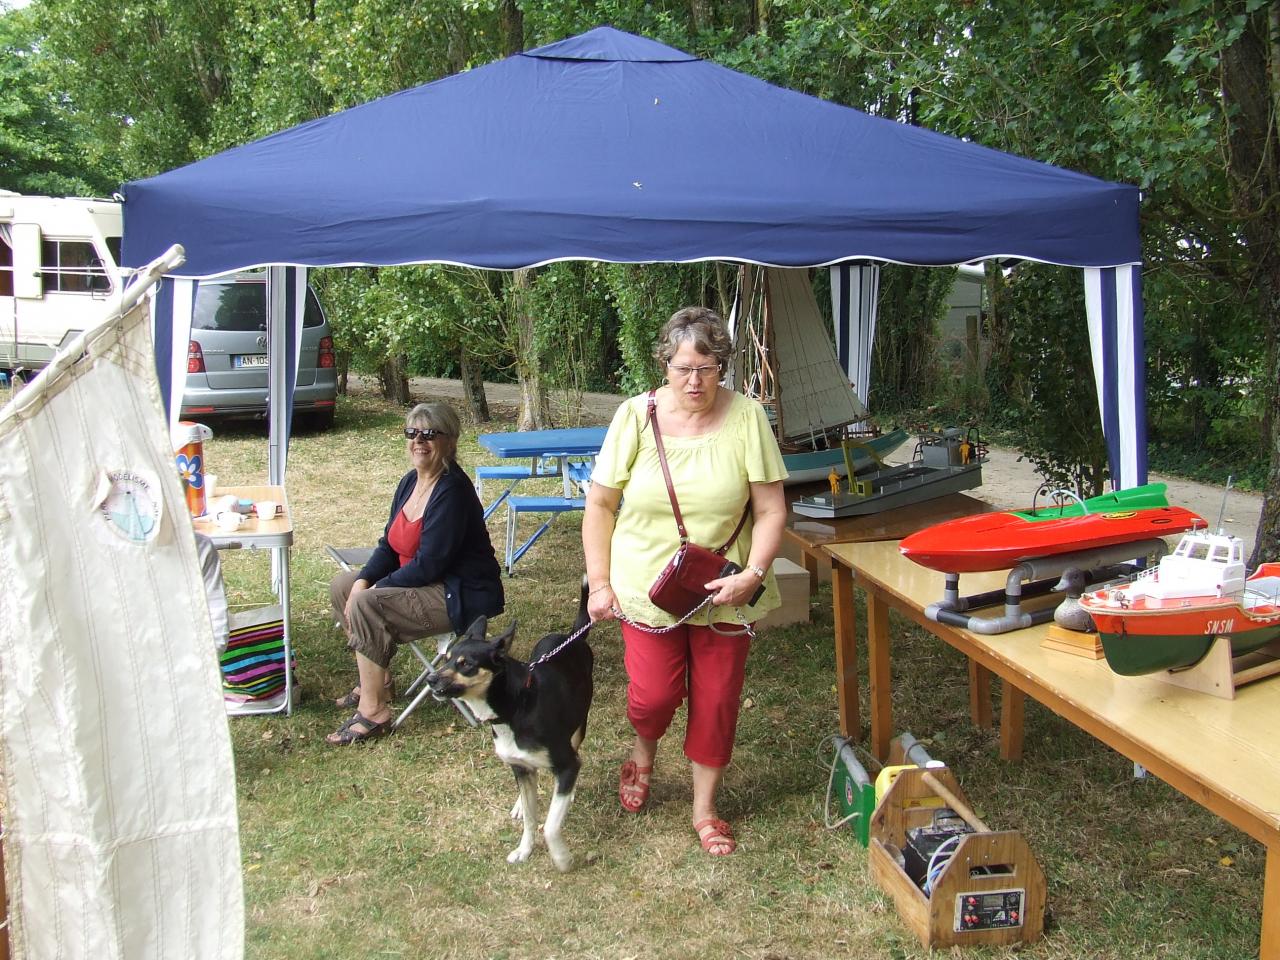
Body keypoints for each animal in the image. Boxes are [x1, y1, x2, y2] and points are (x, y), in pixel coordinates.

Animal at [427, 583, 591, 875]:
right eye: (446, 658)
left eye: (466, 664)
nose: (430, 679)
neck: (514, 709)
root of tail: (573, 637)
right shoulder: (519, 766)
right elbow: (531, 819)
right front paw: (524, 850)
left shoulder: (567, 763)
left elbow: (550, 825)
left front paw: (562, 859)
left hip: (578, 727)